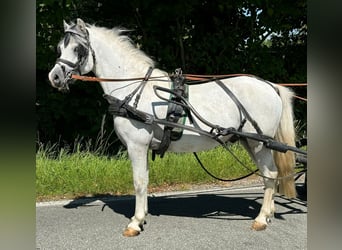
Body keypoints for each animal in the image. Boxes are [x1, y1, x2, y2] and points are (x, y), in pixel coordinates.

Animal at [48, 19, 296, 236]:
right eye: (60, 48)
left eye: (78, 49)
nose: (55, 77)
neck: (133, 87)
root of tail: (271, 85)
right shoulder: (144, 147)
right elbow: (145, 180)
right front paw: (143, 216)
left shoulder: (136, 146)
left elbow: (139, 182)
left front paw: (135, 223)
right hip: (251, 142)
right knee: (269, 175)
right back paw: (269, 212)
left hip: (258, 142)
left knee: (270, 175)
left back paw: (261, 219)